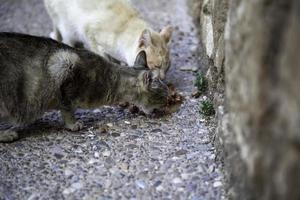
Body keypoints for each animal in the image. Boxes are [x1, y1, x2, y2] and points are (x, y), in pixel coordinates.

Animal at [43, 0, 172, 79]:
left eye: (167, 68)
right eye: (157, 66)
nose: (163, 78)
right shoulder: (90, 33)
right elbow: (104, 57)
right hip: (65, 25)